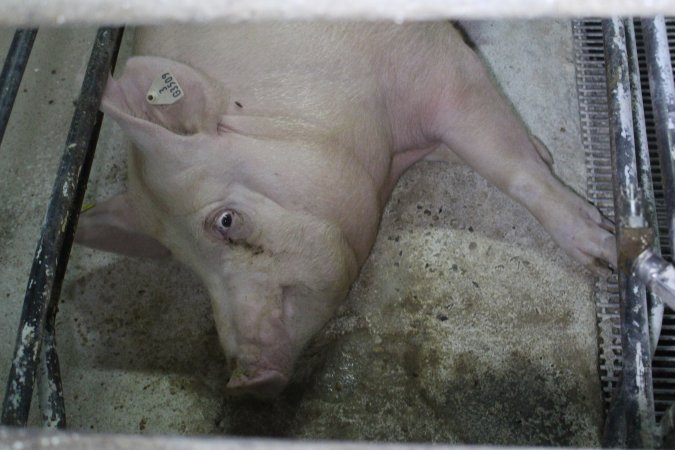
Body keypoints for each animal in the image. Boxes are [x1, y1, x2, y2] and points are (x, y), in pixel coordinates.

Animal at [74, 22, 616, 398]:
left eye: (225, 222)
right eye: (186, 266)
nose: (243, 384)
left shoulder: (439, 64)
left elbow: (510, 167)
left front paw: (607, 253)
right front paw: (544, 153)